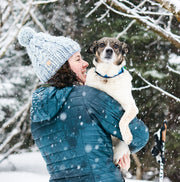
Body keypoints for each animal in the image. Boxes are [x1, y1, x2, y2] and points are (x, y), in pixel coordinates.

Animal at [85, 37, 139, 168]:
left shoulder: (131, 107)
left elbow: (123, 120)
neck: (107, 76)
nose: (109, 51)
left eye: (116, 46)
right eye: (102, 44)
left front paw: (127, 135)